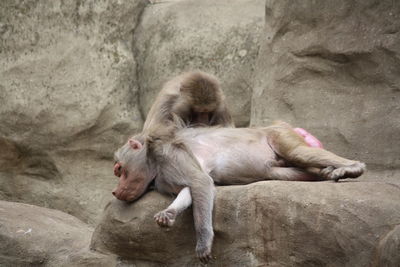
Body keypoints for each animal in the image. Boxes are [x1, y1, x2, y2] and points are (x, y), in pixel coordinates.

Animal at [112, 121, 366, 264]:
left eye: (119, 170)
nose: (115, 191)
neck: (153, 160)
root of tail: (281, 124)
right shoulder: (167, 175)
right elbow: (192, 189)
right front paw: (169, 213)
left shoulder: (169, 157)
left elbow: (200, 182)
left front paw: (204, 242)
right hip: (278, 164)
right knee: (290, 170)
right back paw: (326, 173)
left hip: (279, 134)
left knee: (299, 153)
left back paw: (352, 167)